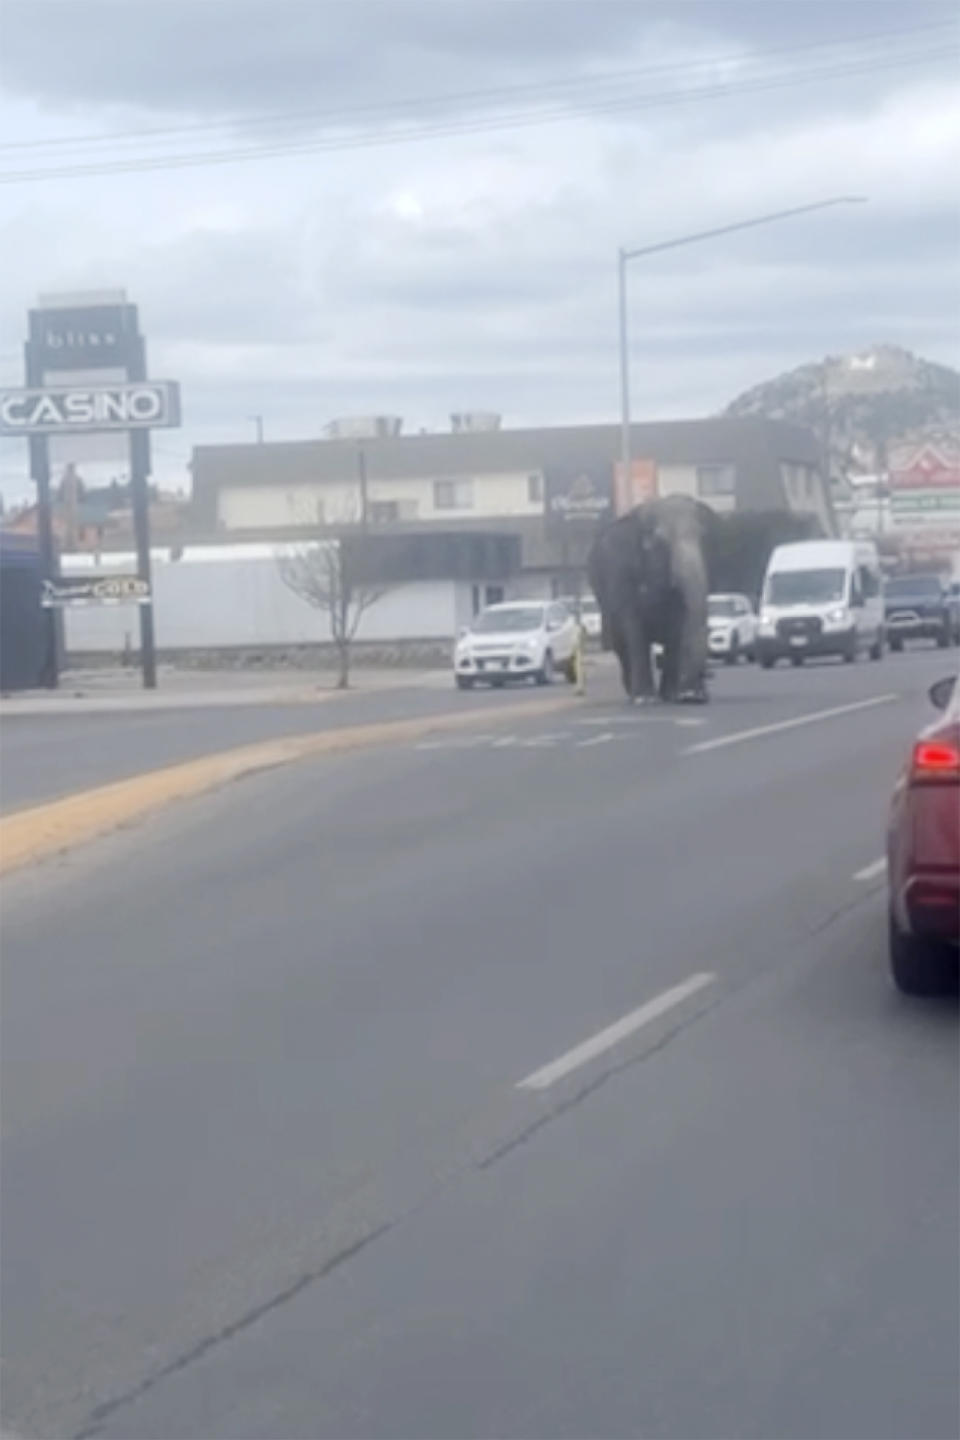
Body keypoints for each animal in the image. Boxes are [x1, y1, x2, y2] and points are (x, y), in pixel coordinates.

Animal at [587, 495, 713, 702]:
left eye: (703, 537)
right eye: (660, 541)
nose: (694, 695)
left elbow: (677, 627)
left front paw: (672, 694)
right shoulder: (620, 574)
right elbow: (633, 628)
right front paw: (644, 699)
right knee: (621, 646)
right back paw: (632, 692)